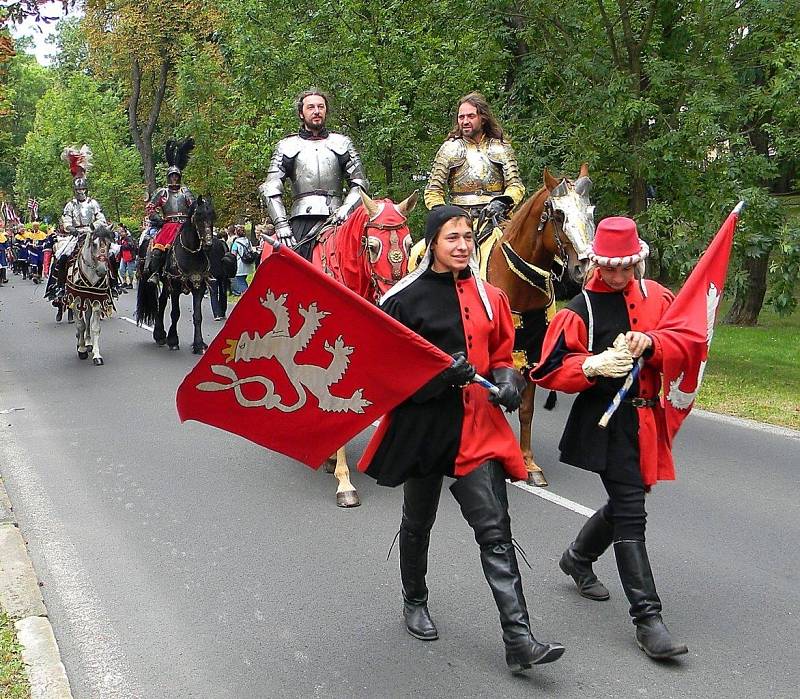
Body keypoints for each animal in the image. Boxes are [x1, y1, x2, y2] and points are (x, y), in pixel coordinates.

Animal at [65, 226, 115, 370]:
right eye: (94, 244)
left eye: (109, 244)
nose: (102, 270)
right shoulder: (76, 300)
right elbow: (80, 325)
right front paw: (81, 350)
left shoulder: (96, 302)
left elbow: (94, 327)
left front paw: (97, 356)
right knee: (81, 323)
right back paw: (81, 343)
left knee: (87, 317)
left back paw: (88, 342)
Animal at [136, 196, 216, 350]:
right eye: (199, 216)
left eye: (213, 216)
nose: (209, 244)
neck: (191, 253)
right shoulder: (175, 286)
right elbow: (175, 313)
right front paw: (173, 340)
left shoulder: (199, 287)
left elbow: (198, 316)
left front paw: (199, 344)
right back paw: (160, 335)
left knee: (161, 302)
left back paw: (160, 335)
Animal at [482, 167, 592, 490]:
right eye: (558, 214)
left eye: (590, 210)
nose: (584, 267)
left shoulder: (530, 354)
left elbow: (526, 409)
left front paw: (528, 464)